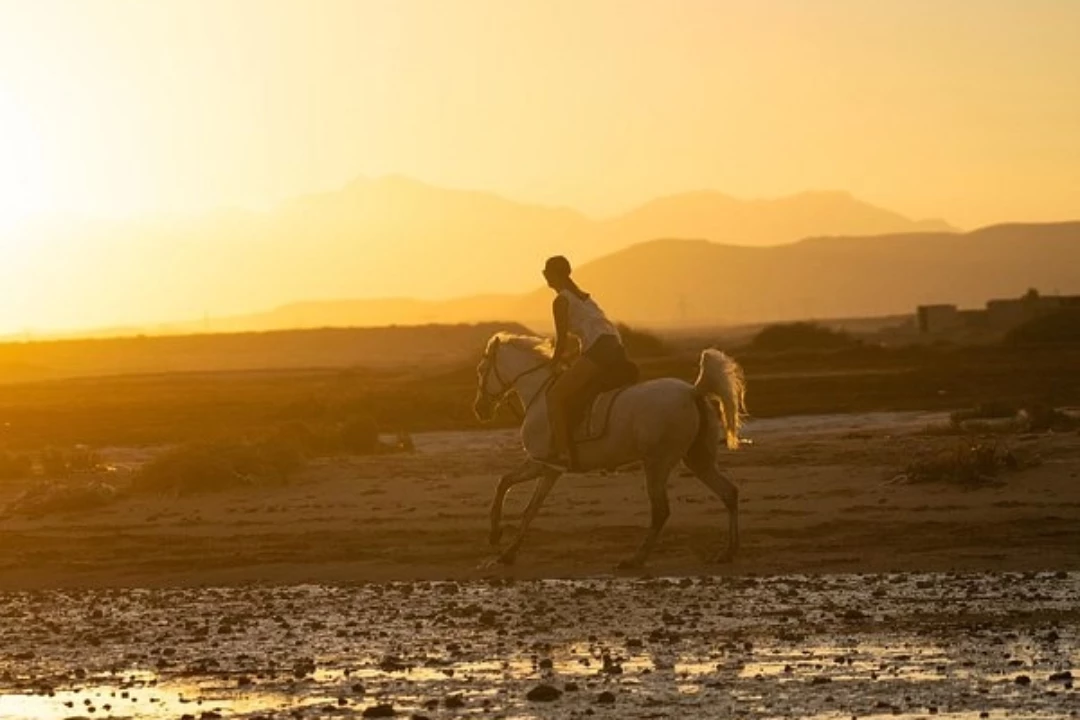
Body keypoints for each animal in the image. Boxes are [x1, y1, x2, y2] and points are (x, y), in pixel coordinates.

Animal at [477, 334, 747, 569]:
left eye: (481, 370)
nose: (479, 409)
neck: (540, 396)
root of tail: (692, 391)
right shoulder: (548, 469)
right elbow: (523, 502)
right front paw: (506, 550)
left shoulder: (543, 464)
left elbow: (510, 490)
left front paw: (496, 537)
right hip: (697, 460)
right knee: (728, 493)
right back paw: (728, 552)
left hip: (657, 463)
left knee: (661, 511)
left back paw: (635, 559)